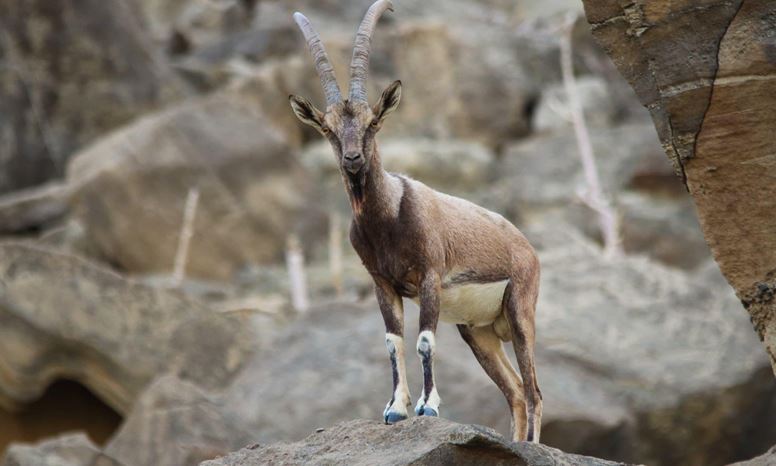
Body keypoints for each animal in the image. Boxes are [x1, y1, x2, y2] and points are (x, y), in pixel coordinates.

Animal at [288, 0, 544, 444]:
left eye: (373, 122)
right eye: (328, 129)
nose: (352, 158)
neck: (388, 218)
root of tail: (525, 246)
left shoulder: (429, 277)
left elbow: (424, 340)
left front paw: (428, 407)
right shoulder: (383, 284)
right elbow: (394, 342)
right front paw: (395, 410)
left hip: (520, 310)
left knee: (533, 391)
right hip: (478, 332)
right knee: (513, 390)